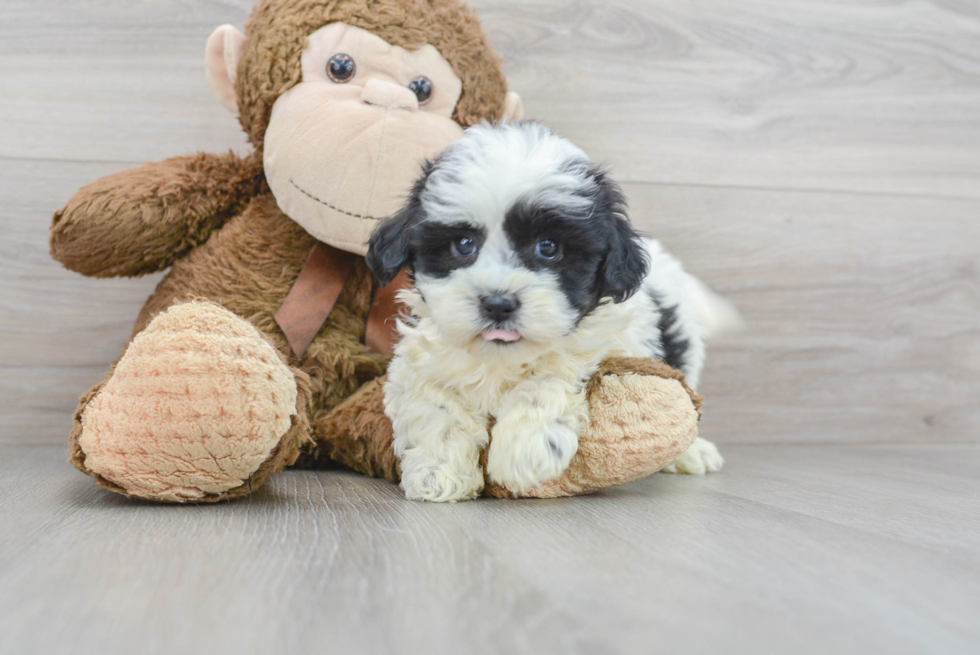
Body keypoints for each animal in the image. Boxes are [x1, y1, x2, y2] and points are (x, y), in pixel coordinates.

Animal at [368, 121, 728, 502]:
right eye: (463, 245)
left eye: (549, 247)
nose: (498, 303)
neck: (499, 359)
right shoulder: (419, 361)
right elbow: (435, 405)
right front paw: (438, 472)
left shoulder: (604, 343)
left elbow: (550, 376)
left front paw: (523, 453)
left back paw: (694, 452)